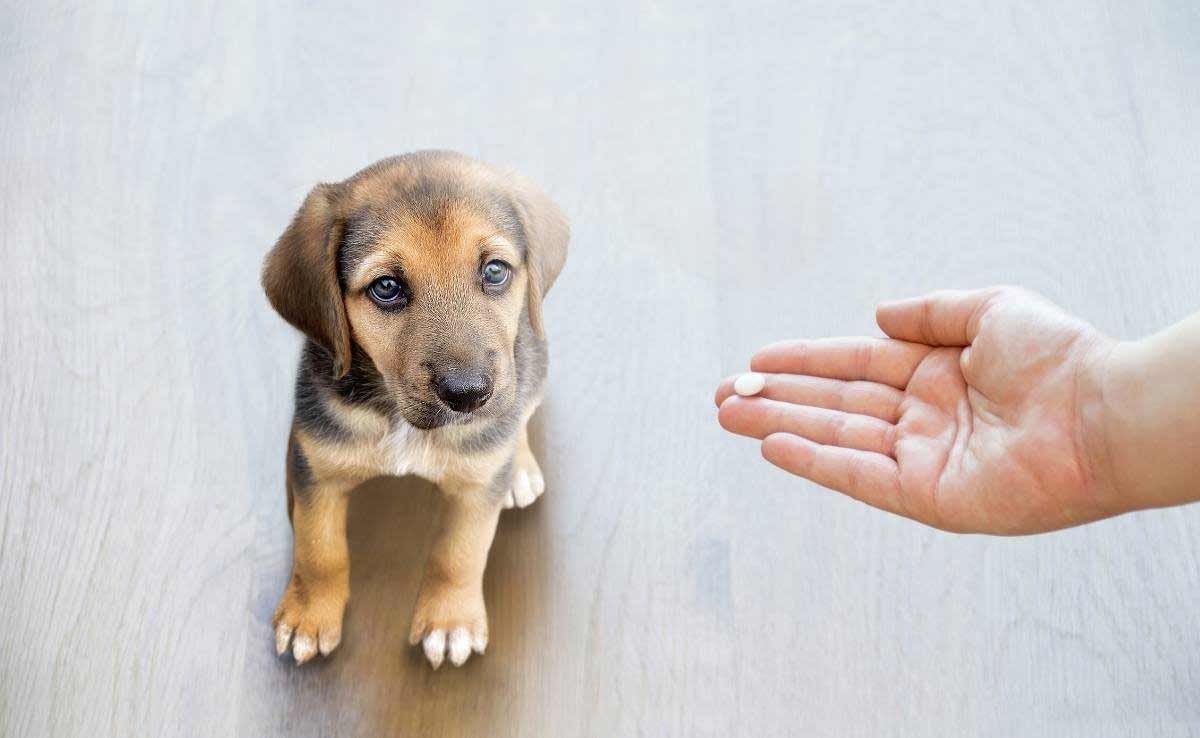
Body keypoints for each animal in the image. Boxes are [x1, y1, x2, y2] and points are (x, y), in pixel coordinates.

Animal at [261, 150, 566, 672]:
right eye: (386, 287)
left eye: (495, 271)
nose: (468, 395)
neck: (400, 418)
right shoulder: (317, 467)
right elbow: (319, 549)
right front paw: (308, 615)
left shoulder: (476, 487)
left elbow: (459, 553)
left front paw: (449, 622)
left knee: (521, 411)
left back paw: (520, 467)